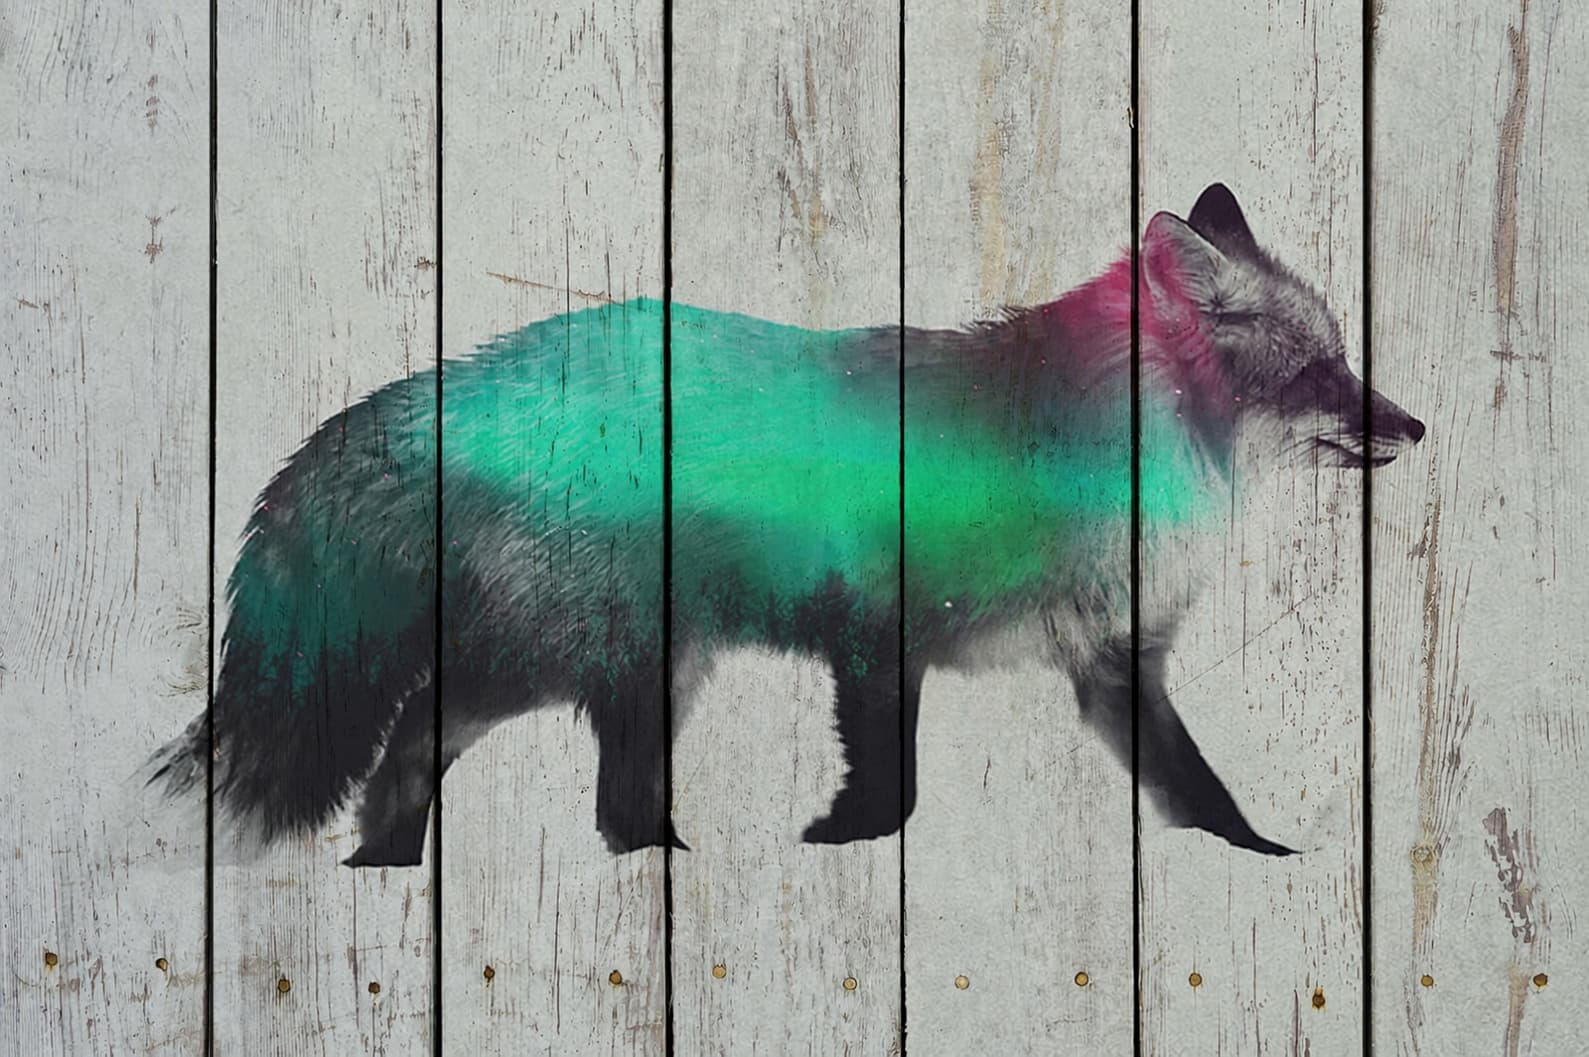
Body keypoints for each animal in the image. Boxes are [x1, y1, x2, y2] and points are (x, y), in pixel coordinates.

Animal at [146, 184, 1425, 867]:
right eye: (1320, 371)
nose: (1414, 425)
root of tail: (470, 374)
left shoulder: (1115, 666)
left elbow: (1199, 793)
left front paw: (1255, 863)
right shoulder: (878, 634)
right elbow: (891, 787)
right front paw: (842, 850)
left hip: (644, 669)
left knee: (580, 797)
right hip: (588, 655)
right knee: (432, 737)